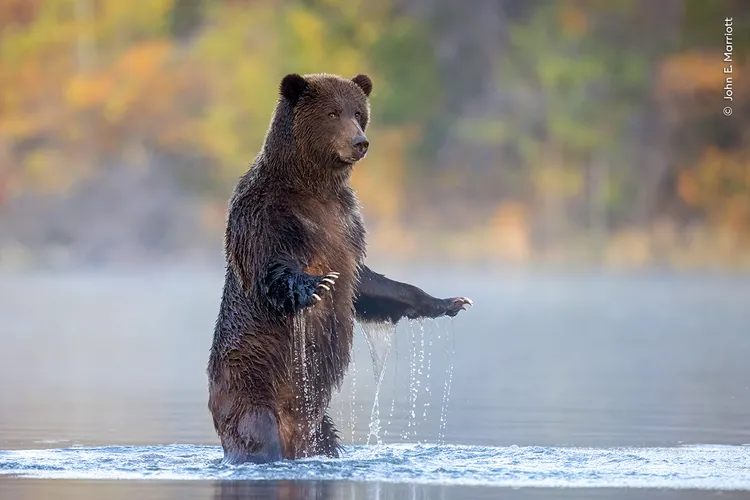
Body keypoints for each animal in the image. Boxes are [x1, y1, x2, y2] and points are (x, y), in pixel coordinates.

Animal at [207, 72, 472, 464]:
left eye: (359, 113)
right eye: (332, 113)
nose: (360, 142)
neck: (312, 186)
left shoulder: (347, 226)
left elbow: (368, 284)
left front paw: (450, 302)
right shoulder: (266, 215)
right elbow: (271, 269)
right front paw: (316, 285)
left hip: (319, 425)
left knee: (326, 440)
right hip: (250, 384)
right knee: (255, 433)